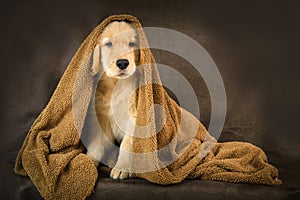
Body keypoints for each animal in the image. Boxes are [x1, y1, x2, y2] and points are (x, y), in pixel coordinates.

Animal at [86, 20, 139, 180]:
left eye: (131, 44)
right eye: (108, 44)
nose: (122, 63)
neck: (116, 84)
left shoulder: (134, 117)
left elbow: (127, 144)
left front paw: (121, 167)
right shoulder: (101, 120)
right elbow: (96, 146)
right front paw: (86, 163)